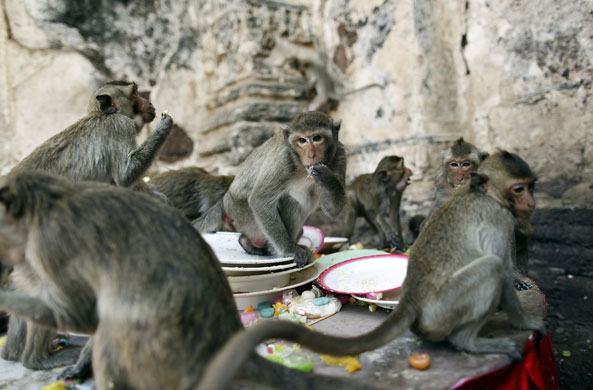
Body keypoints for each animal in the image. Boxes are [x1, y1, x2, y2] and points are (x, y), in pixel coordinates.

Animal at [2, 81, 173, 372]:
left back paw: (14, 352)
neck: (100, 115)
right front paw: (165, 126)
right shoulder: (119, 126)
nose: (149, 103)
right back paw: (36, 360)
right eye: (134, 92)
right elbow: (125, 174)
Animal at [193, 111, 346, 266]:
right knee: (290, 201)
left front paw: (327, 177)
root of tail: (224, 201)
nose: (311, 155)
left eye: (317, 138)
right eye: (302, 140)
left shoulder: (340, 155)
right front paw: (290, 250)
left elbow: (332, 210)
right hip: (243, 214)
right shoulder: (283, 159)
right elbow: (259, 200)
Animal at [197, 150, 544, 390]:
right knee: (490, 267)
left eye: (531, 186)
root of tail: (411, 300)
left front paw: (397, 237)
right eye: (519, 188)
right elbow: (504, 267)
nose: (531, 203)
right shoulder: (498, 216)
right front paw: (526, 320)